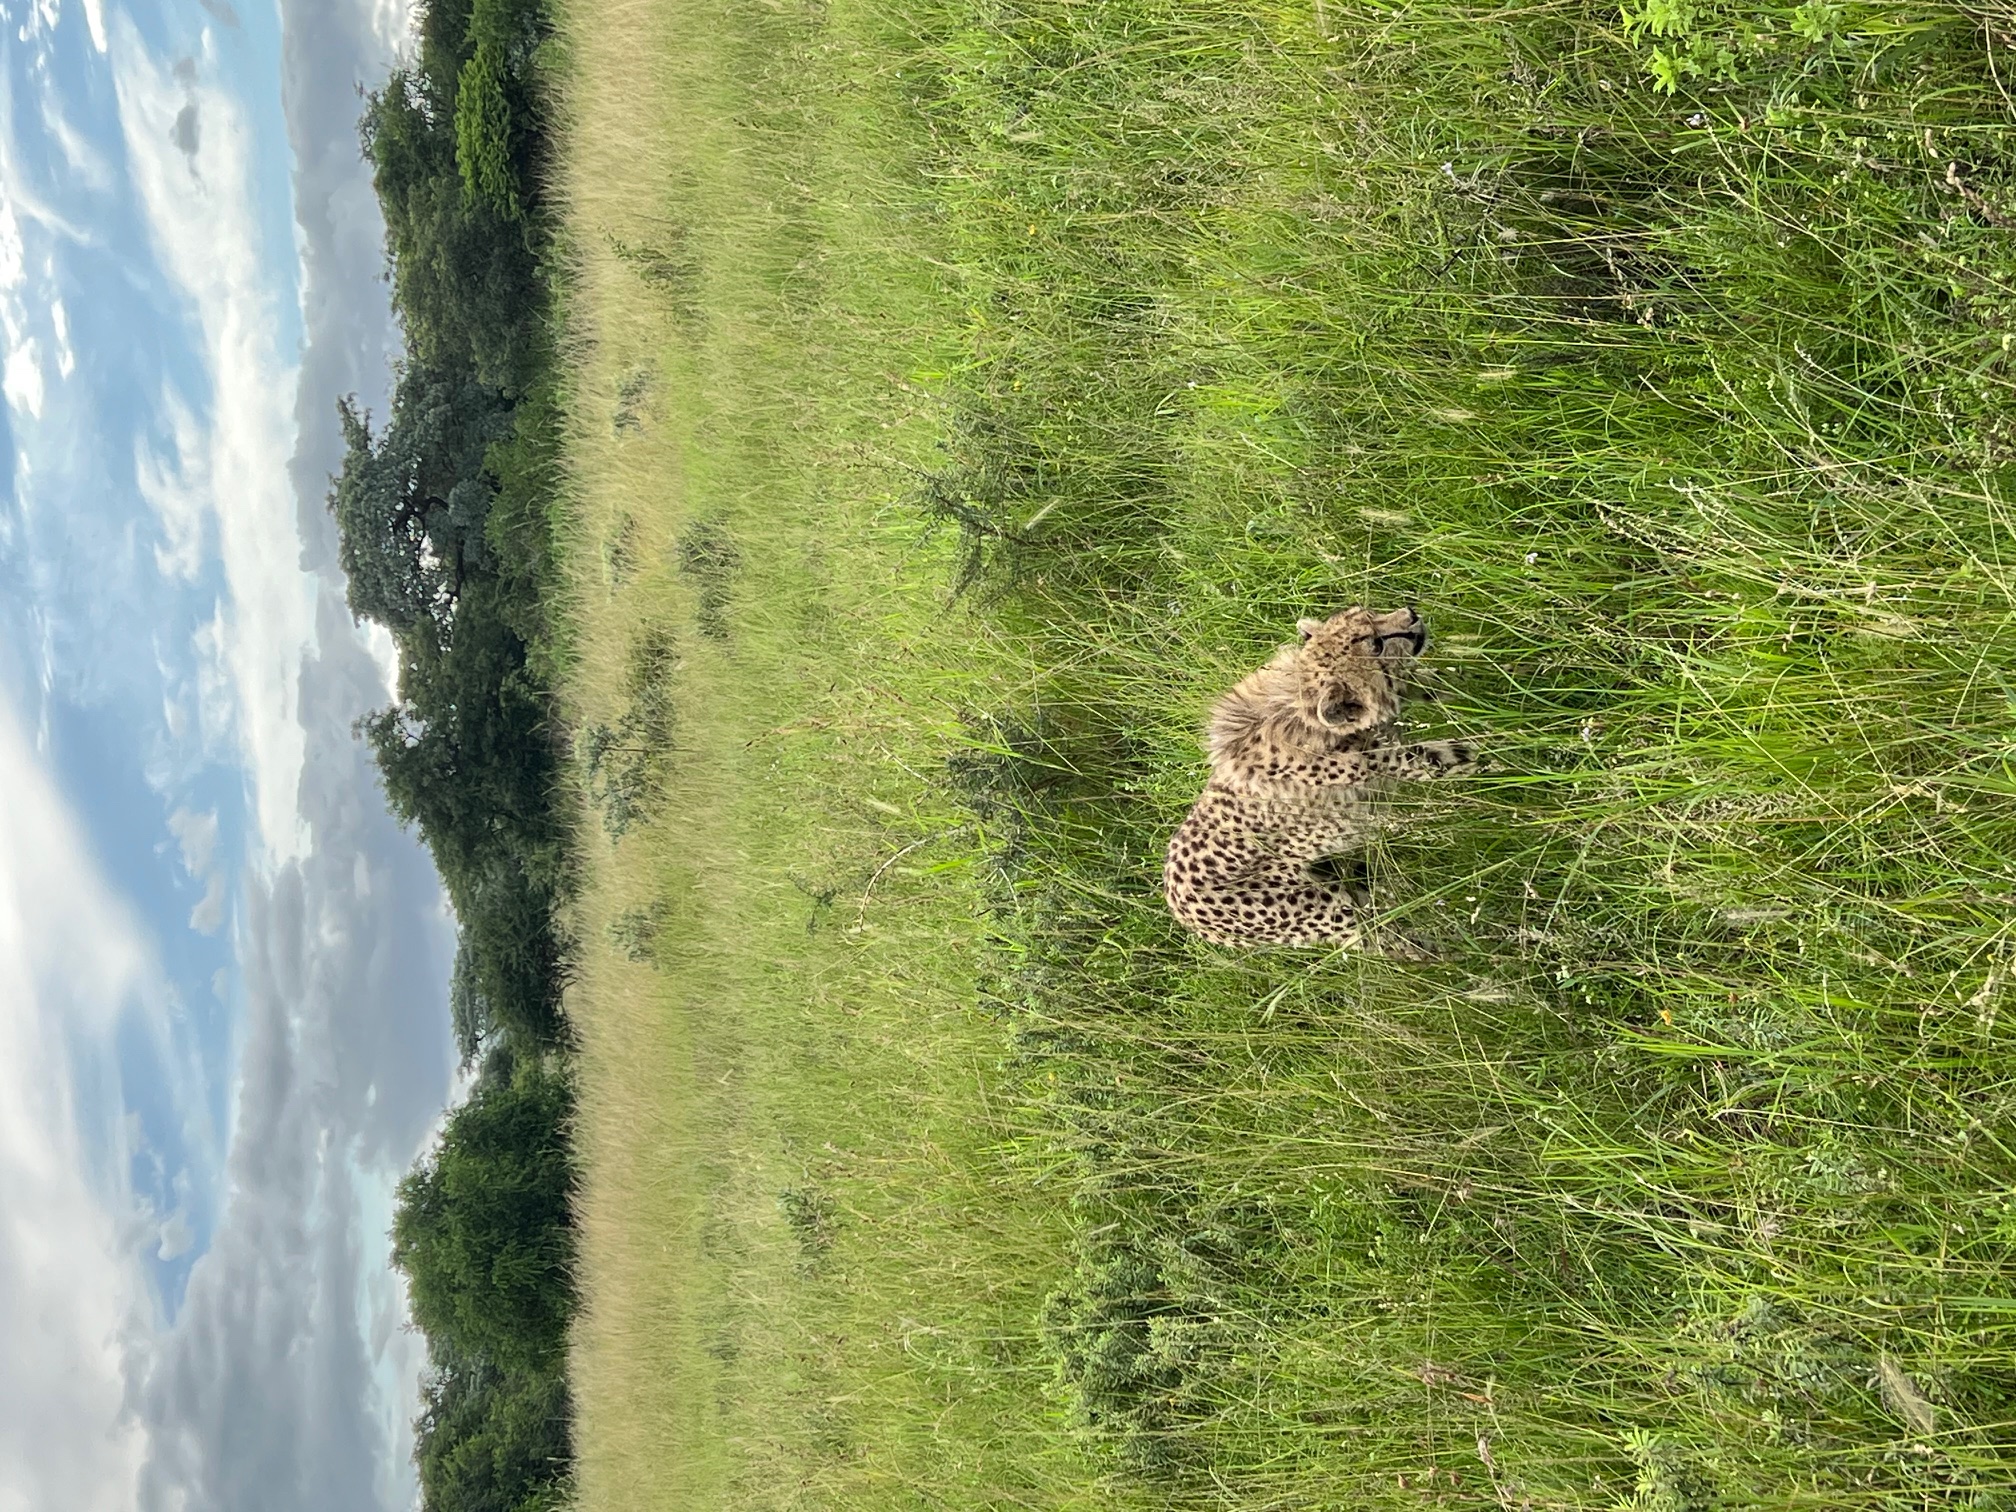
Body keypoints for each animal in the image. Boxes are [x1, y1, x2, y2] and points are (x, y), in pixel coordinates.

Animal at [1162, 606, 1477, 950]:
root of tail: (1178, 906)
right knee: (1380, 940)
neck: (1300, 711)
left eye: (1367, 613)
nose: (1412, 615)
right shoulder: (1408, 763)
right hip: (1329, 910)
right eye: (1376, 646)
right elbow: (1467, 755)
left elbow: (1440, 685)